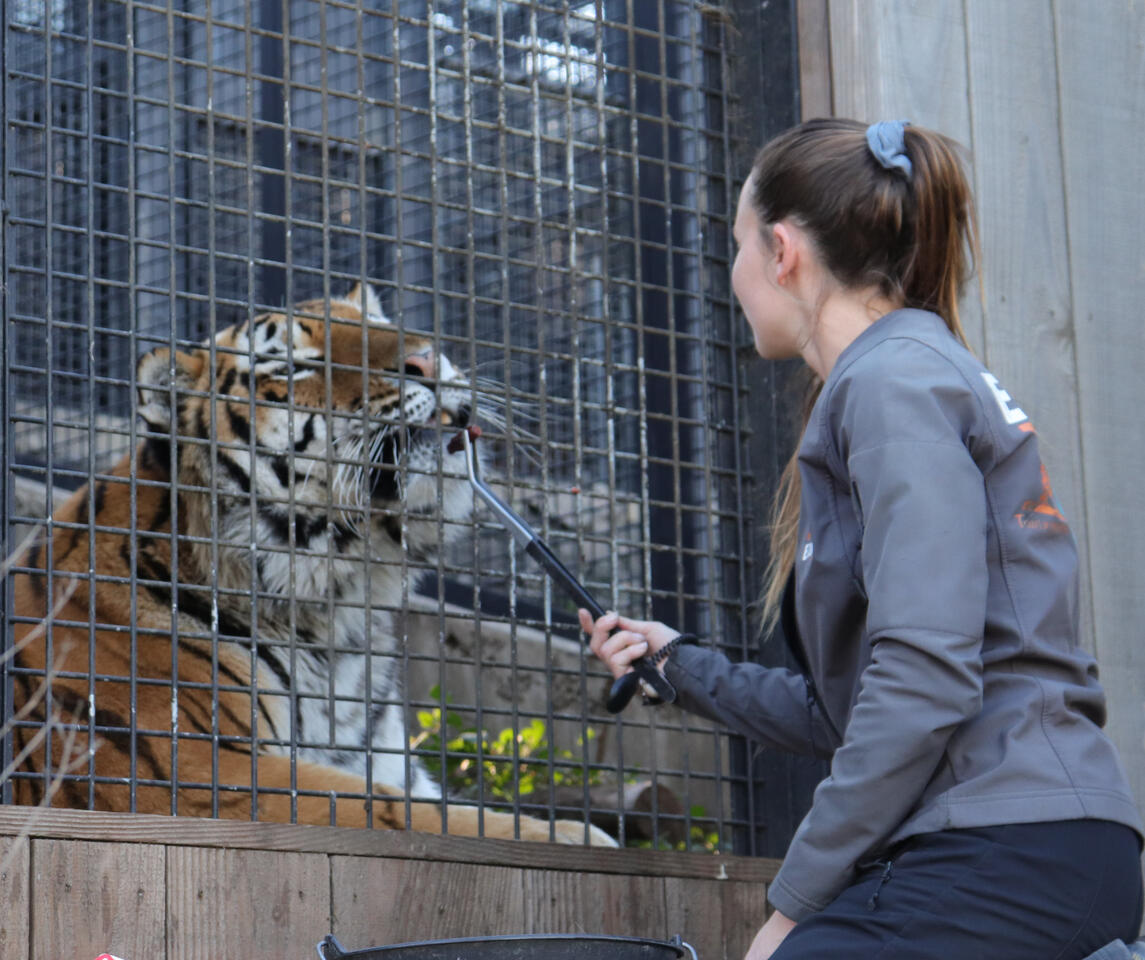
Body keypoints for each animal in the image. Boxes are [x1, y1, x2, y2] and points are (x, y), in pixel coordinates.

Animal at [9, 284, 615, 846]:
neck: (335, 607)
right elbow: (402, 812)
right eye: (295, 366)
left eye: (376, 326)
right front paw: (578, 836)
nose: (426, 359)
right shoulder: (191, 772)